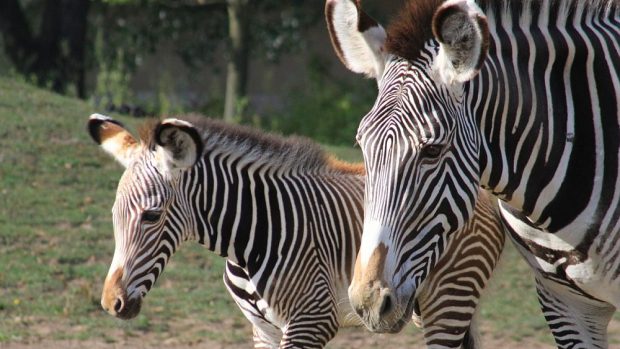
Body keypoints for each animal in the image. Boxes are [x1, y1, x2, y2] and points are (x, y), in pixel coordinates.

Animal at [87, 113, 504, 346]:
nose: (110, 303)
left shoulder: (311, 321)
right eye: (114, 215)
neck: (253, 230)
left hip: (449, 299)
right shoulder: (264, 329)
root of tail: (477, 182)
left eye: (151, 216)